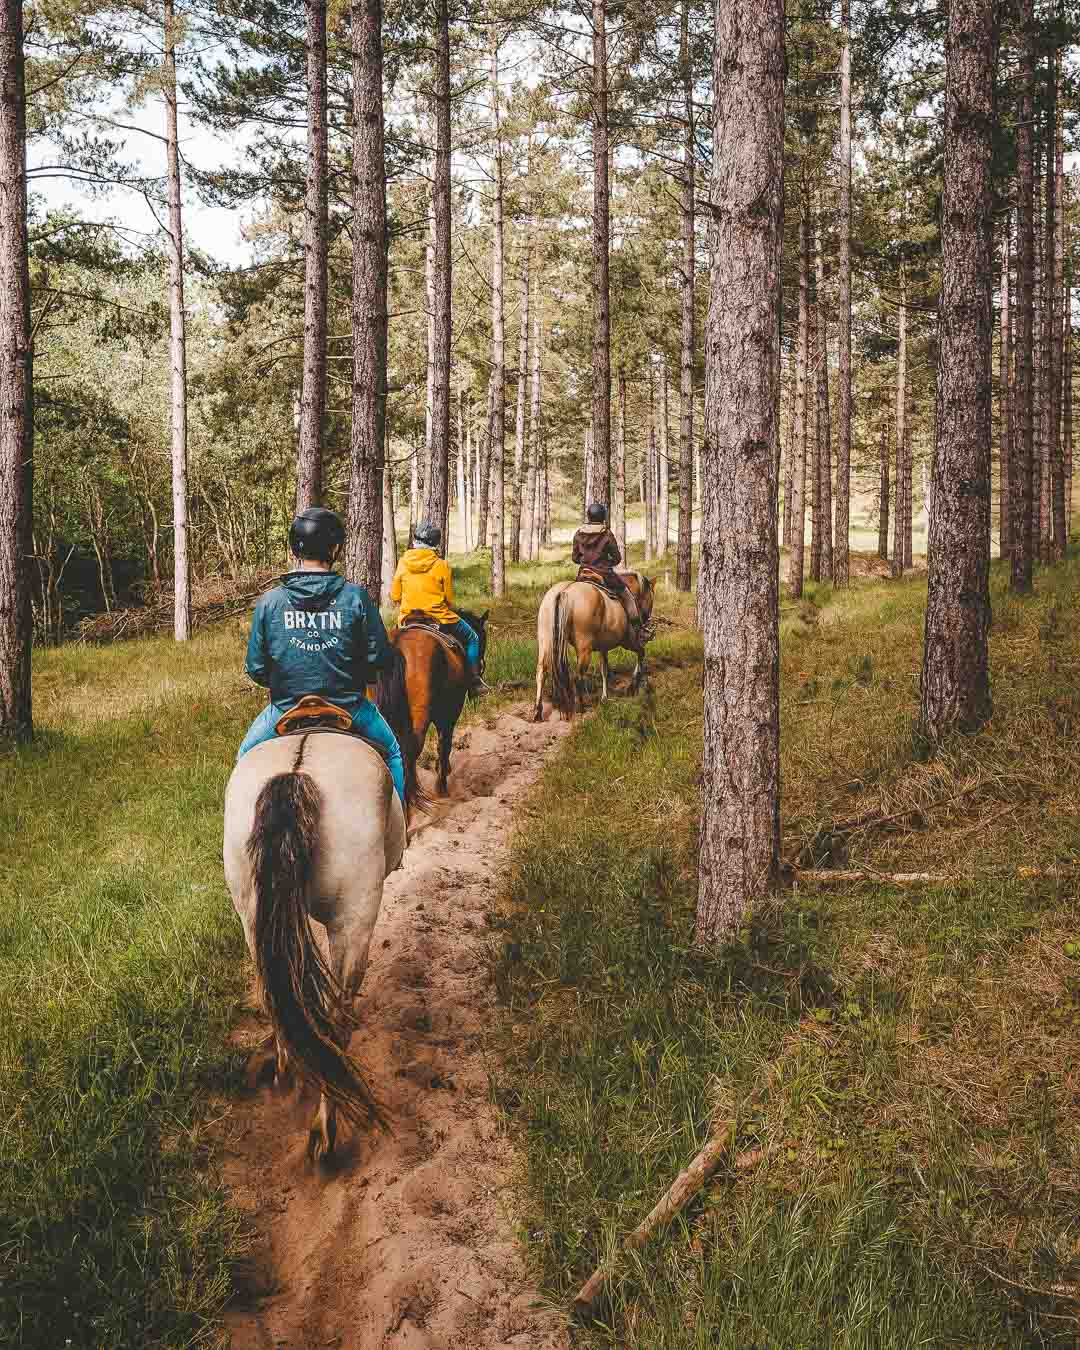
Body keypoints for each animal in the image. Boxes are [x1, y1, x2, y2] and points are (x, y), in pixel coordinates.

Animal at [220, 650, 421, 1161]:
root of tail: (296, 771)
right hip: (353, 922)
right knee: (336, 1018)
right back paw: (326, 1129)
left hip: (252, 914)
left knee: (276, 995)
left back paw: (287, 1073)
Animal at [383, 610, 488, 793]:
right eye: (483, 639)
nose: (482, 666)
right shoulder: (449, 713)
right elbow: (444, 745)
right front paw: (442, 786)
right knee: (410, 753)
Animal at [529, 567, 650, 718]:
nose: (647, 619)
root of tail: (564, 592)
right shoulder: (628, 641)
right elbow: (641, 652)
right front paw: (635, 682)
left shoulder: (604, 647)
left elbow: (604, 670)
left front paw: (605, 697)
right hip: (584, 648)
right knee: (578, 677)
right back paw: (580, 707)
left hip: (545, 641)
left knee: (541, 671)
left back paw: (537, 711)